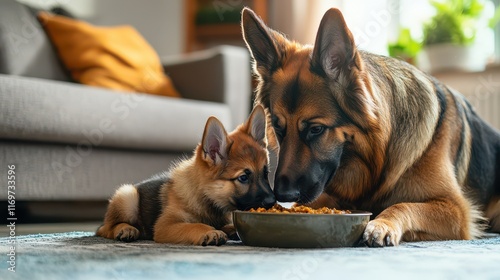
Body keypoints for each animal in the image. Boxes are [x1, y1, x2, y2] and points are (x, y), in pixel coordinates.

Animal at [95, 105, 276, 245]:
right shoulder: (166, 226)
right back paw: (126, 229)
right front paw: (210, 231)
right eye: (243, 178)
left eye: (265, 173)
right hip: (128, 196)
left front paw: (229, 230)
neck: (207, 197)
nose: (272, 201)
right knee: (105, 229)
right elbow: (193, 225)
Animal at [241, 7, 500, 246]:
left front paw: (382, 223)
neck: (377, 159)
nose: (281, 194)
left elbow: (404, 205)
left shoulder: (456, 210)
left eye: (316, 129)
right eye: (278, 128)